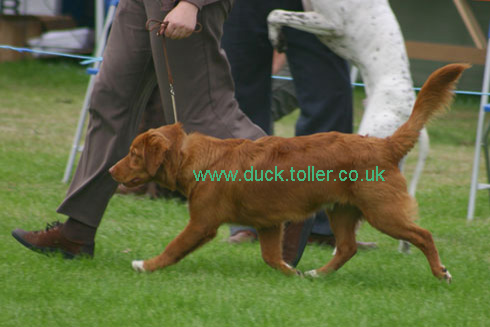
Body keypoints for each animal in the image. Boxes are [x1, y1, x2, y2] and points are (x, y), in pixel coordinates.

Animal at [110, 63, 468, 282]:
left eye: (134, 154)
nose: (112, 170)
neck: (194, 158)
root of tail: (385, 145)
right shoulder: (268, 224)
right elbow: (271, 257)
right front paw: (292, 274)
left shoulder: (202, 223)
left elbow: (173, 248)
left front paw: (145, 265)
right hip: (342, 210)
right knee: (347, 248)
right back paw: (317, 274)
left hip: (383, 212)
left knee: (423, 235)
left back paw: (441, 272)